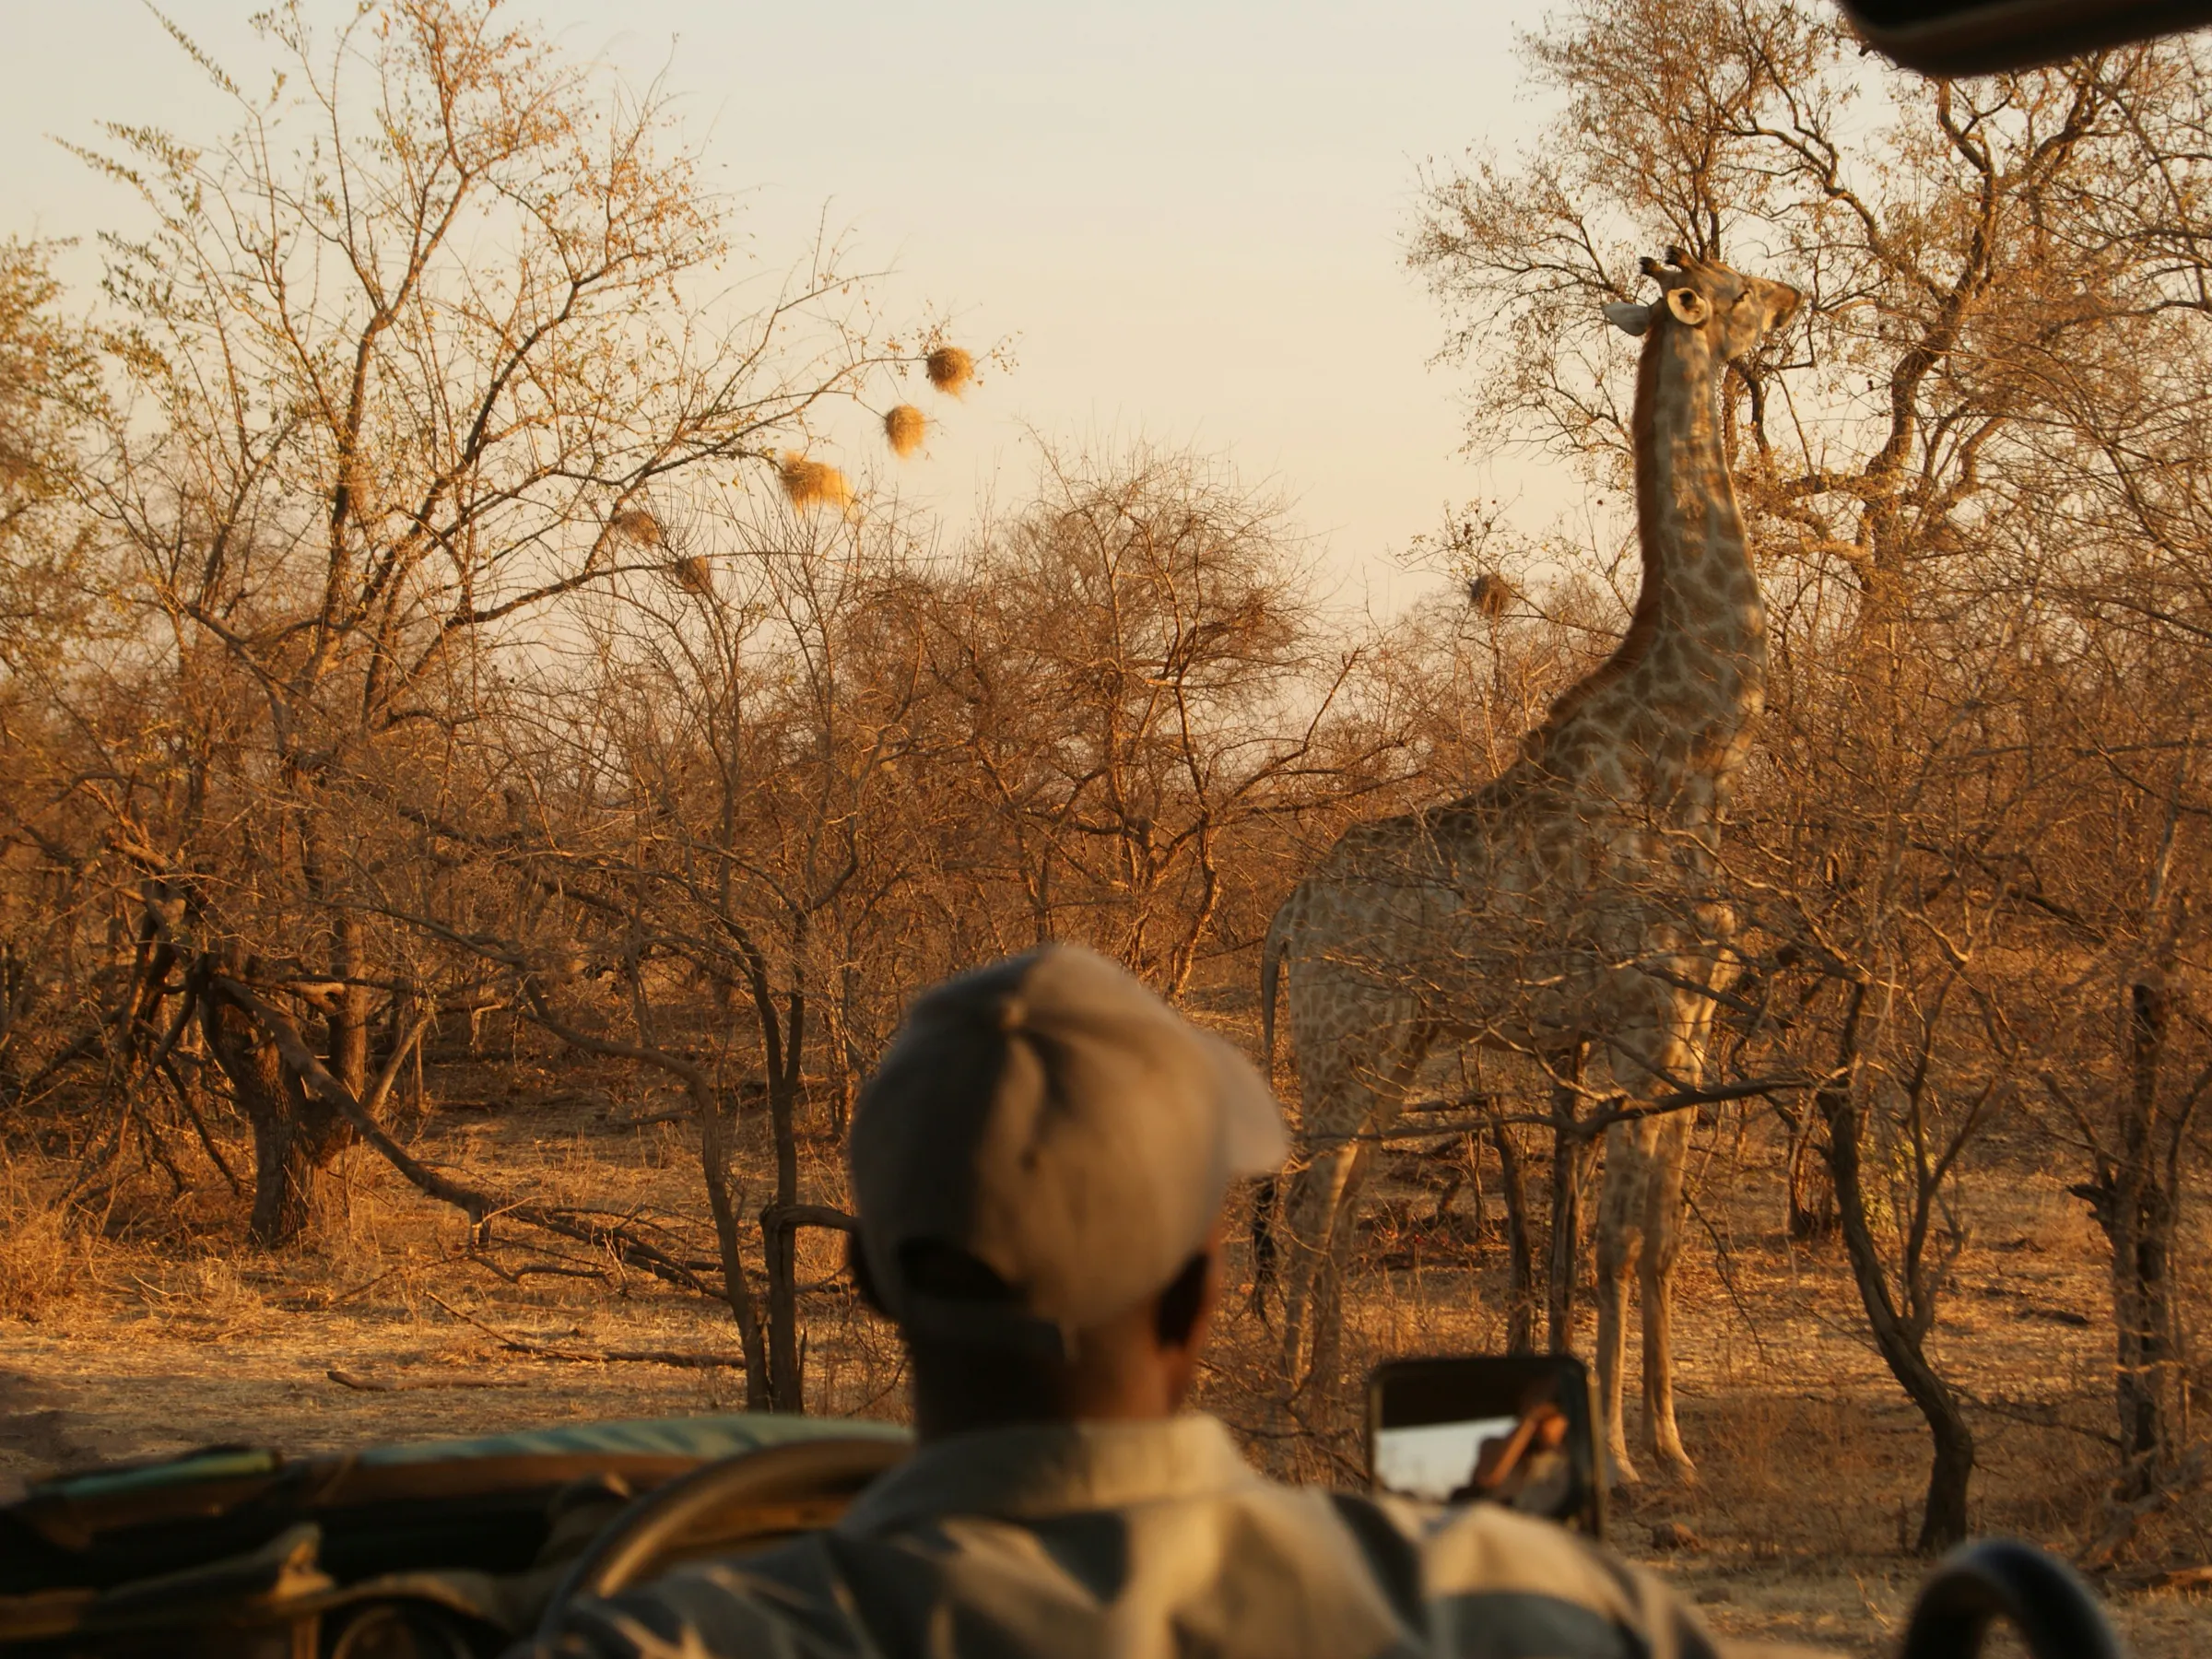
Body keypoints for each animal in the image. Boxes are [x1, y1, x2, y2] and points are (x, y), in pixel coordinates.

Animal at [1260, 248, 1798, 1484]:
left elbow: (1656, 1238)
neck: (1694, 757)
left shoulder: (1688, 1027)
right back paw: (1296, 1409)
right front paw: (1622, 1456)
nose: (1797, 297)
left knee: (1341, 1206)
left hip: (1400, 1045)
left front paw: (1671, 1443)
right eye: (1737, 286)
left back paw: (1331, 1396)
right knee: (1310, 1206)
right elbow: (1614, 1241)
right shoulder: (1638, 1022)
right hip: (1348, 1037)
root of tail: (1291, 909)